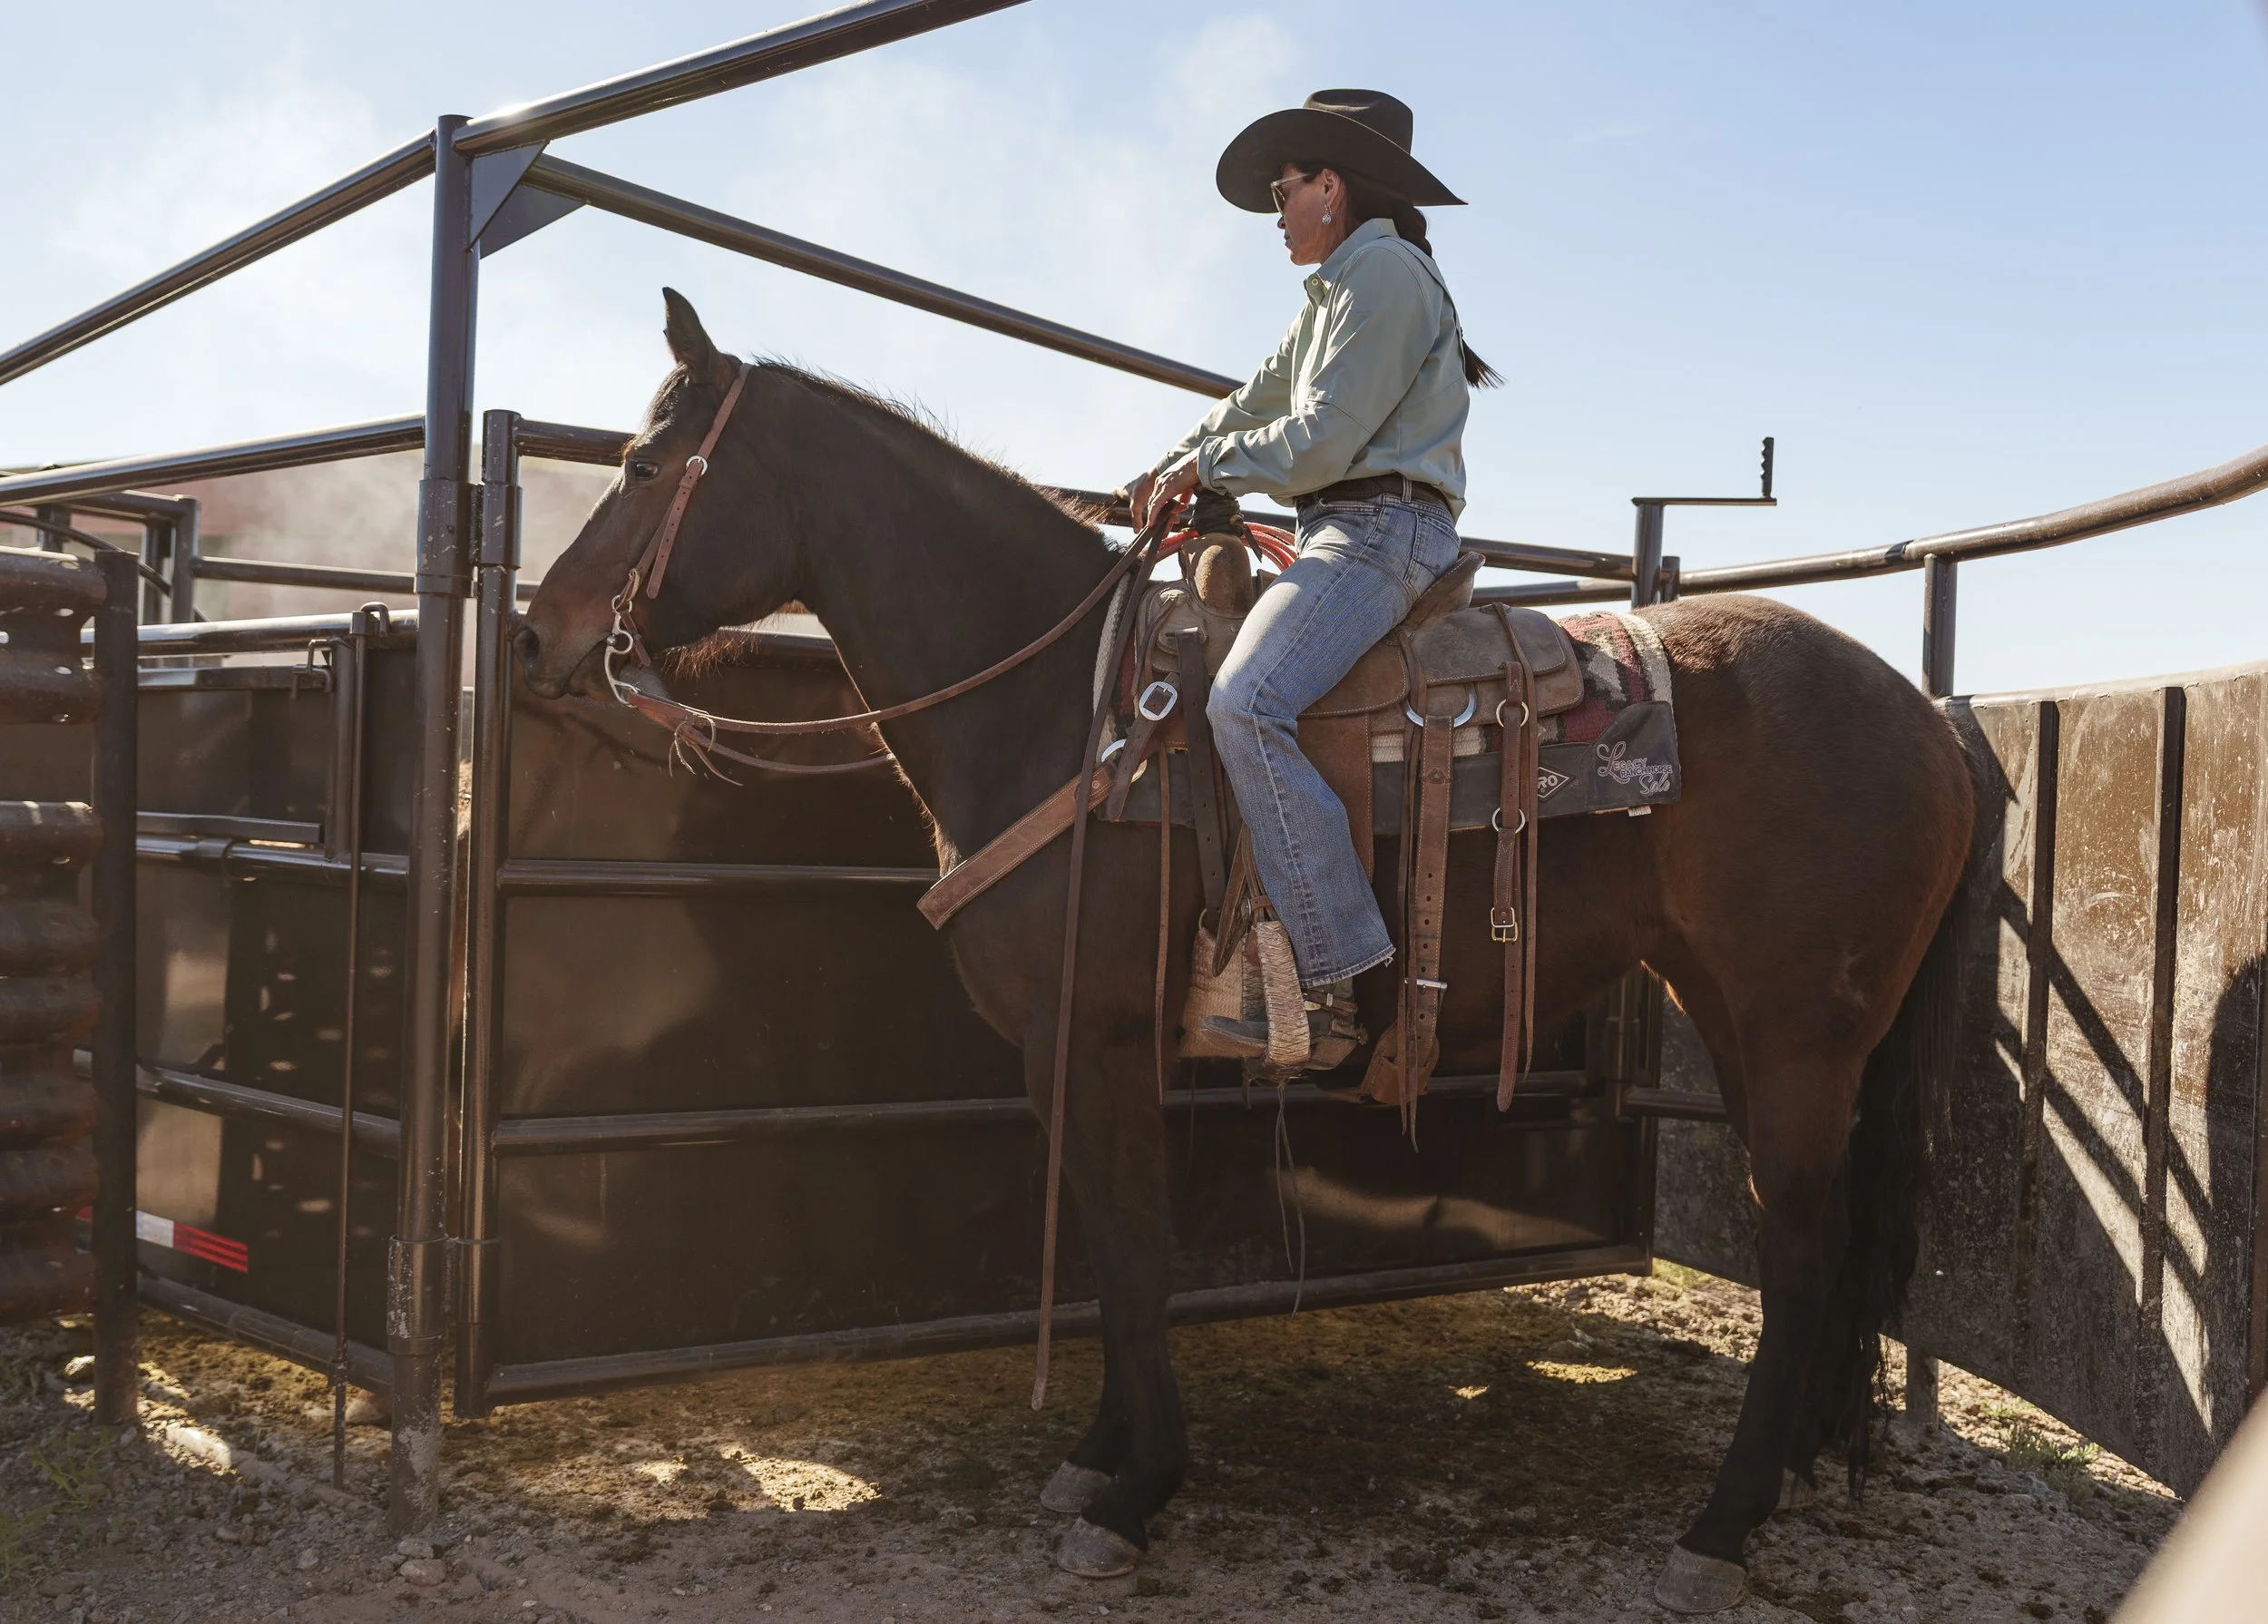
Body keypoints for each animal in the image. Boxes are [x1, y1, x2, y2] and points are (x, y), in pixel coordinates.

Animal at [518, 289, 1976, 1614]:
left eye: (642, 464)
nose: (538, 634)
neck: (1061, 713)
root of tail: (1924, 716)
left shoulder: (1097, 1039)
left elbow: (1135, 1251)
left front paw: (1134, 1492)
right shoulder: (1066, 1054)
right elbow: (1107, 1244)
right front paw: (1098, 1454)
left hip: (1795, 1037)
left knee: (1798, 1251)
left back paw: (1719, 1526)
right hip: (1735, 1012)